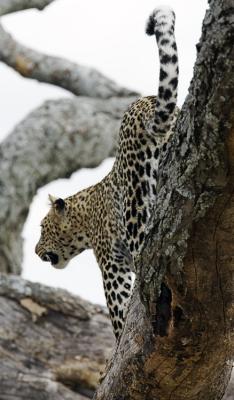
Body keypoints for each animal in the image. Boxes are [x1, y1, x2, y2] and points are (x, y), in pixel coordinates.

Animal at [35, 6, 179, 340]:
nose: (36, 251)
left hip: (137, 204)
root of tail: (148, 106)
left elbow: (118, 310)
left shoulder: (111, 263)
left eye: (42, 228)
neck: (85, 215)